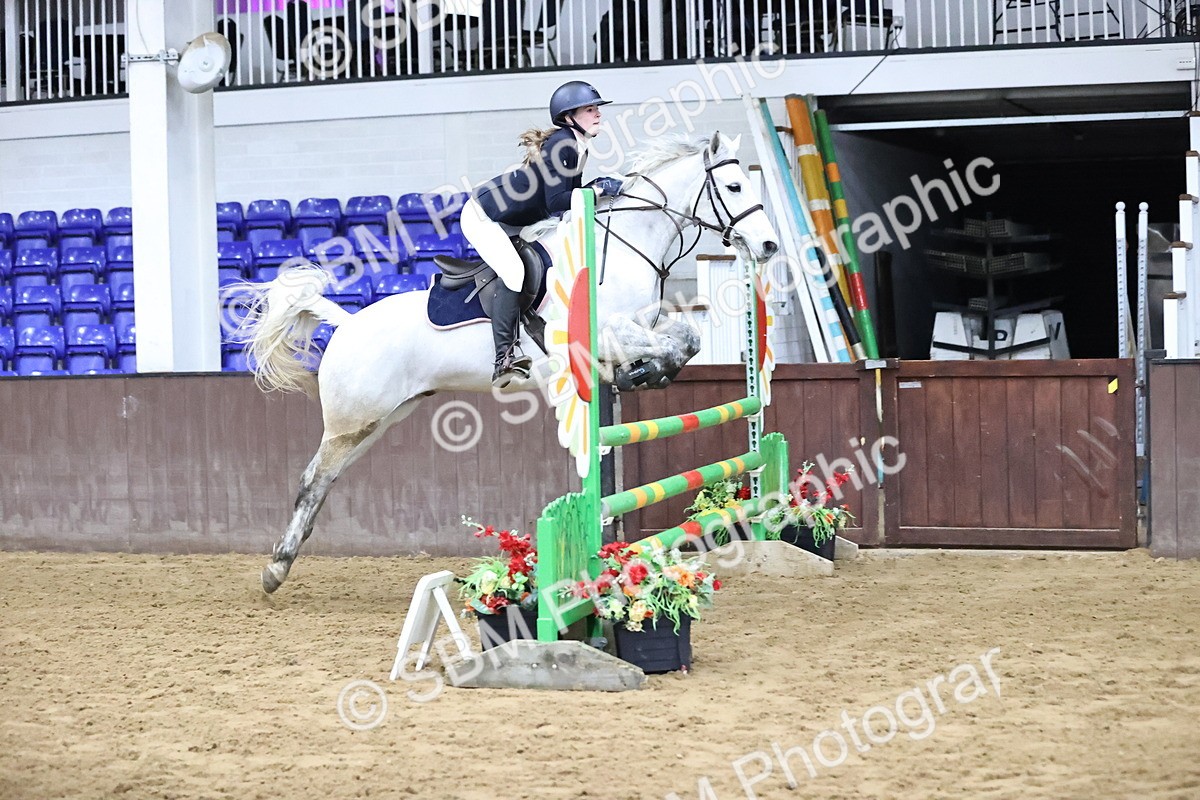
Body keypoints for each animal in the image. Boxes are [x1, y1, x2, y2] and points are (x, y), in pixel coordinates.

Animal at [237, 131, 780, 593]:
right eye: (734, 185)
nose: (769, 246)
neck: (626, 244)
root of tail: (346, 323)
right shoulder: (603, 335)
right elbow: (667, 346)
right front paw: (645, 372)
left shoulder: (641, 325)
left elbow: (686, 337)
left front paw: (648, 373)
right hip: (354, 420)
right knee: (312, 480)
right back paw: (275, 568)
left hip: (378, 420)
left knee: (325, 480)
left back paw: (285, 559)